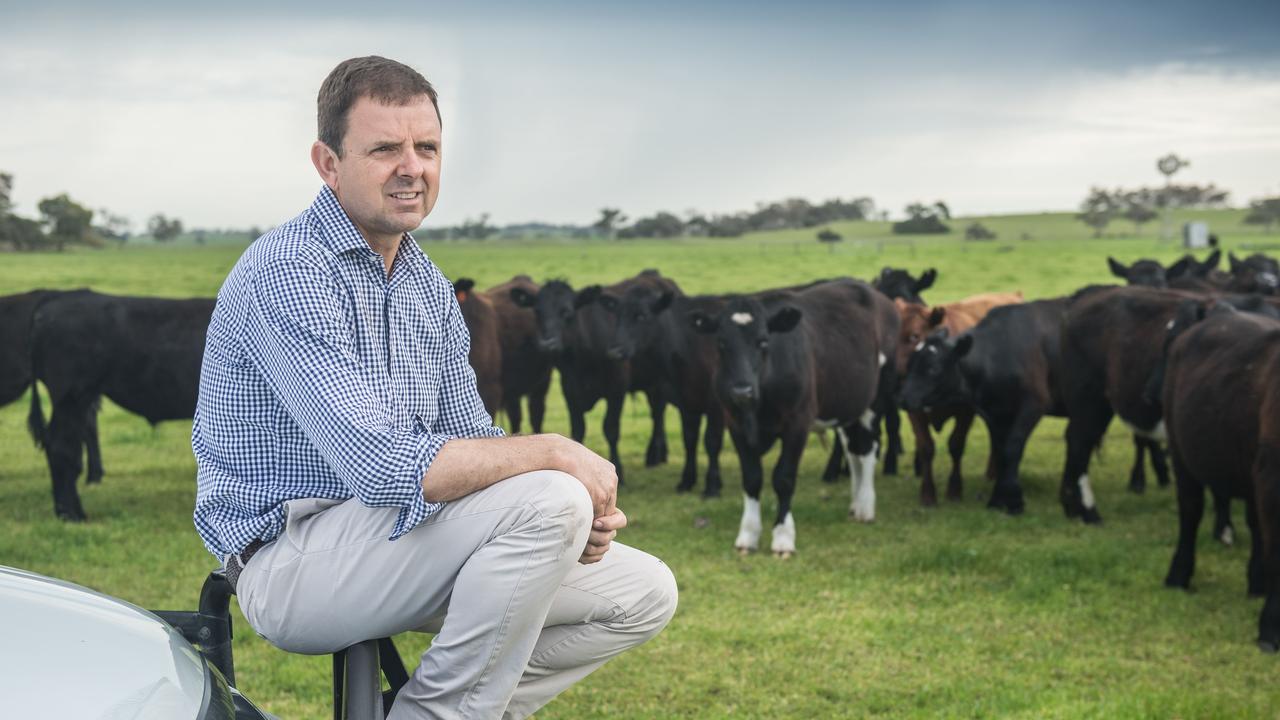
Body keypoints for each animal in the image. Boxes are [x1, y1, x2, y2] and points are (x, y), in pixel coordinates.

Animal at [593, 280, 727, 491]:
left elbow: (712, 441)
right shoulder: (687, 402)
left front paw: (712, 485)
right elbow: (689, 438)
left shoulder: (716, 406)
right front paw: (687, 480)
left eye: (642, 316)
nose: (615, 351)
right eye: (618, 315)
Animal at [896, 288, 1024, 502]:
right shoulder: (915, 410)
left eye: (914, 336)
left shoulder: (966, 412)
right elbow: (926, 448)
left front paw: (954, 489)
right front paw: (927, 493)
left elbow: (956, 445)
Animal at [1167, 302, 1280, 650]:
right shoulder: (1271, 480)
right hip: (1181, 450)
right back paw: (1178, 575)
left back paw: (1256, 582)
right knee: (1190, 512)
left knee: (1256, 525)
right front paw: (1270, 629)